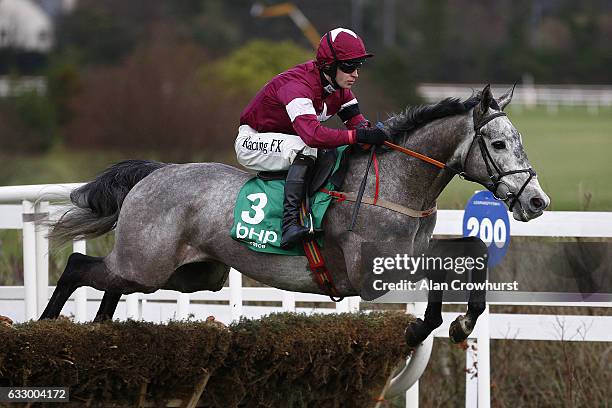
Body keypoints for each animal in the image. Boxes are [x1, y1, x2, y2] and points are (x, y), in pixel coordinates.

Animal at [41, 84, 548, 346]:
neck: (397, 182)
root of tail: (156, 172)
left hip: (186, 274)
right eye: (498, 143)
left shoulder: (415, 248)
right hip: (149, 264)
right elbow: (443, 270)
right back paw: (45, 326)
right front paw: (424, 326)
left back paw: (99, 332)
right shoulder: (372, 269)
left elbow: (473, 250)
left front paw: (463, 322)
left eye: (519, 140)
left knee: (109, 282)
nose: (536, 202)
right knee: (78, 265)